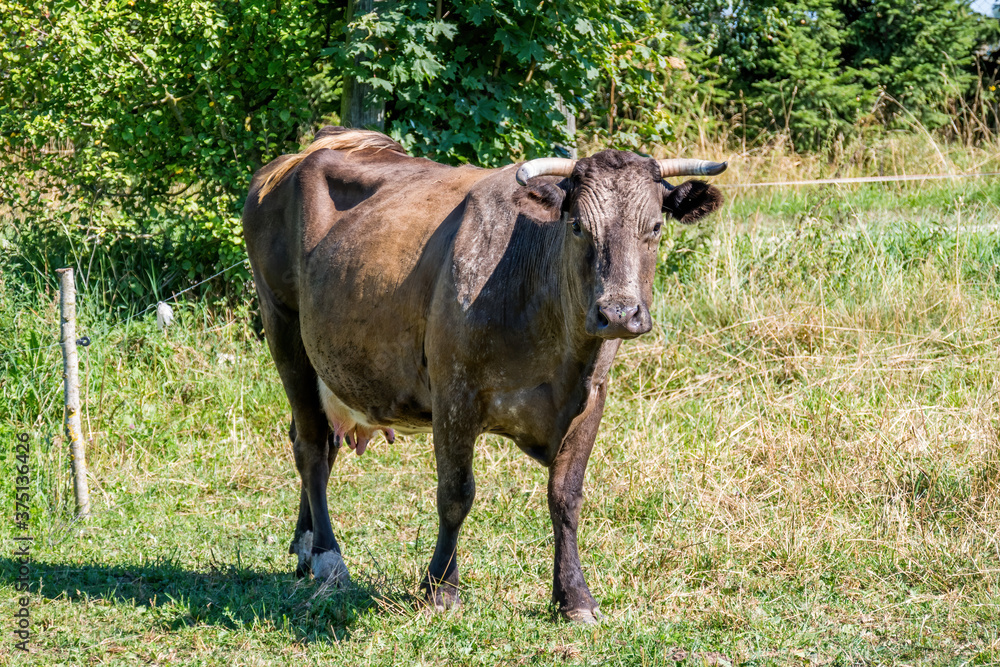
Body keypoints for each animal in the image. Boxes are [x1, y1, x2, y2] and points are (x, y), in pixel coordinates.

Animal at [242, 126, 725, 623]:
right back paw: (328, 557)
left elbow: (565, 497)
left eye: (655, 227)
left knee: (320, 440)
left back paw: (304, 549)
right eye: (577, 226)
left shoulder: (592, 397)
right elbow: (455, 495)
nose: (619, 313)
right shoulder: (455, 394)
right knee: (311, 448)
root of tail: (308, 150)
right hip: (283, 328)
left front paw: (574, 597)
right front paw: (440, 588)